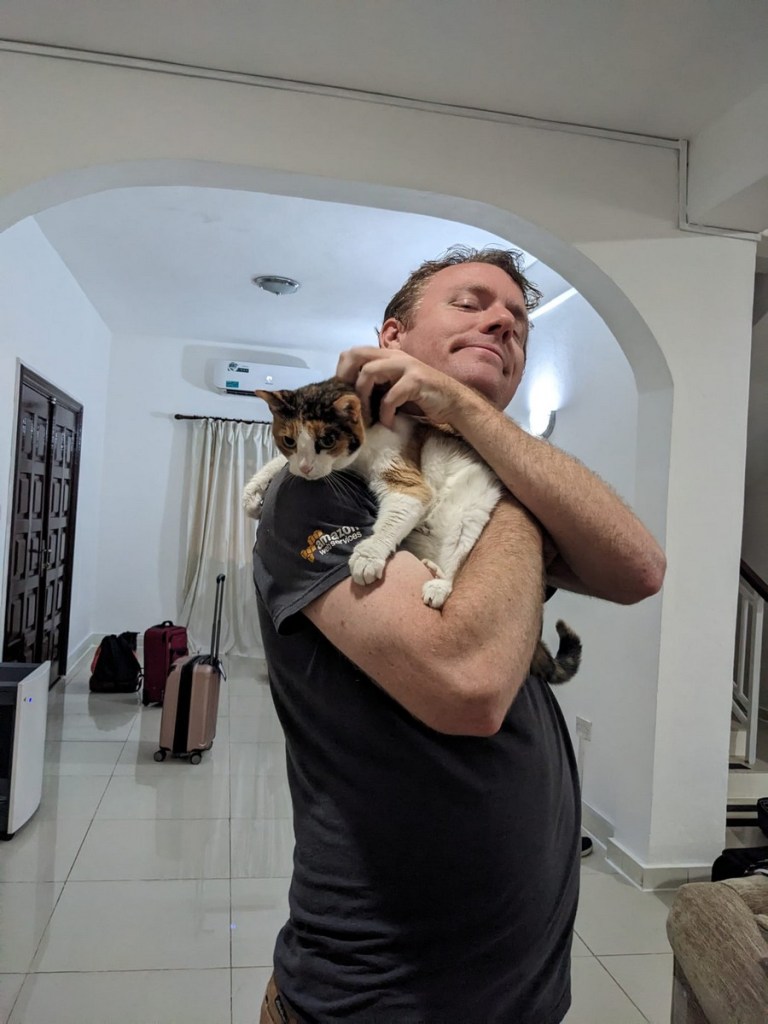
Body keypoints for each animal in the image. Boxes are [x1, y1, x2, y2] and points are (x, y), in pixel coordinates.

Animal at [243, 377, 581, 685]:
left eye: (326, 441)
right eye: (289, 441)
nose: (307, 469)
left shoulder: (406, 484)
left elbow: (391, 520)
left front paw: (368, 556)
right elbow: (280, 465)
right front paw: (253, 493)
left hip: (469, 517)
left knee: (456, 563)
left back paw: (439, 585)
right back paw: (429, 566)